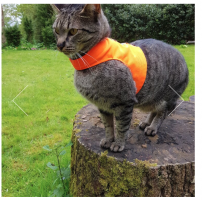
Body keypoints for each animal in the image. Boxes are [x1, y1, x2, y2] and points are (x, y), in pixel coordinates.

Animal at [52, 4, 189, 152]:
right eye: (56, 30)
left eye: (73, 31)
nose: (59, 44)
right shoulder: (103, 105)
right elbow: (108, 125)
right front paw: (108, 140)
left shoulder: (125, 102)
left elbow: (121, 126)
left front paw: (118, 143)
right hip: (151, 100)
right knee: (154, 111)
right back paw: (147, 122)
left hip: (167, 98)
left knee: (163, 112)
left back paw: (152, 127)